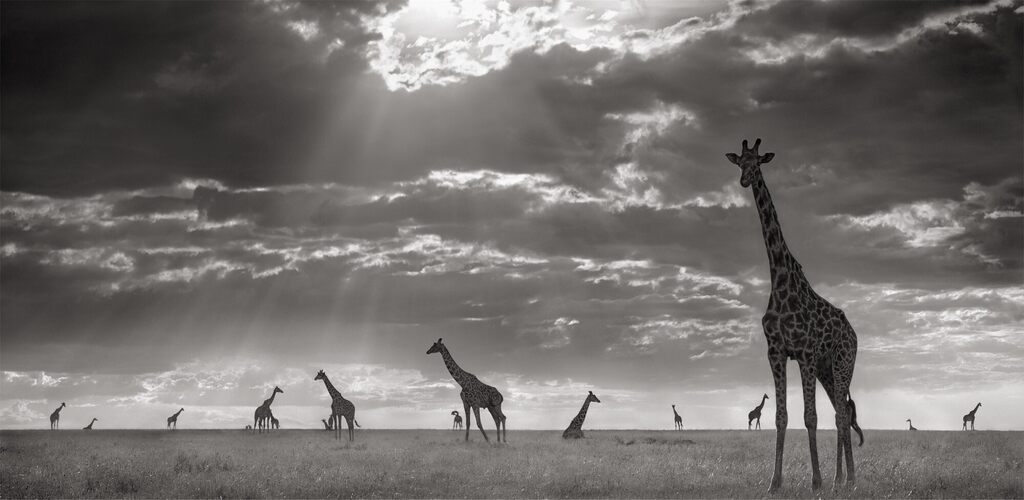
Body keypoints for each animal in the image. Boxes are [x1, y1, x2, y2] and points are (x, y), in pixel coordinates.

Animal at [725, 139, 862, 492]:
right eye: (739, 162)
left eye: (758, 162)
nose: (744, 180)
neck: (779, 279)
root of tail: (854, 333)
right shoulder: (775, 352)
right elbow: (781, 417)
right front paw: (774, 482)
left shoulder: (805, 353)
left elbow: (809, 417)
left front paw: (815, 481)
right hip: (828, 369)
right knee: (842, 411)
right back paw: (843, 478)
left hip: (843, 363)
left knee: (842, 414)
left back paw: (846, 479)